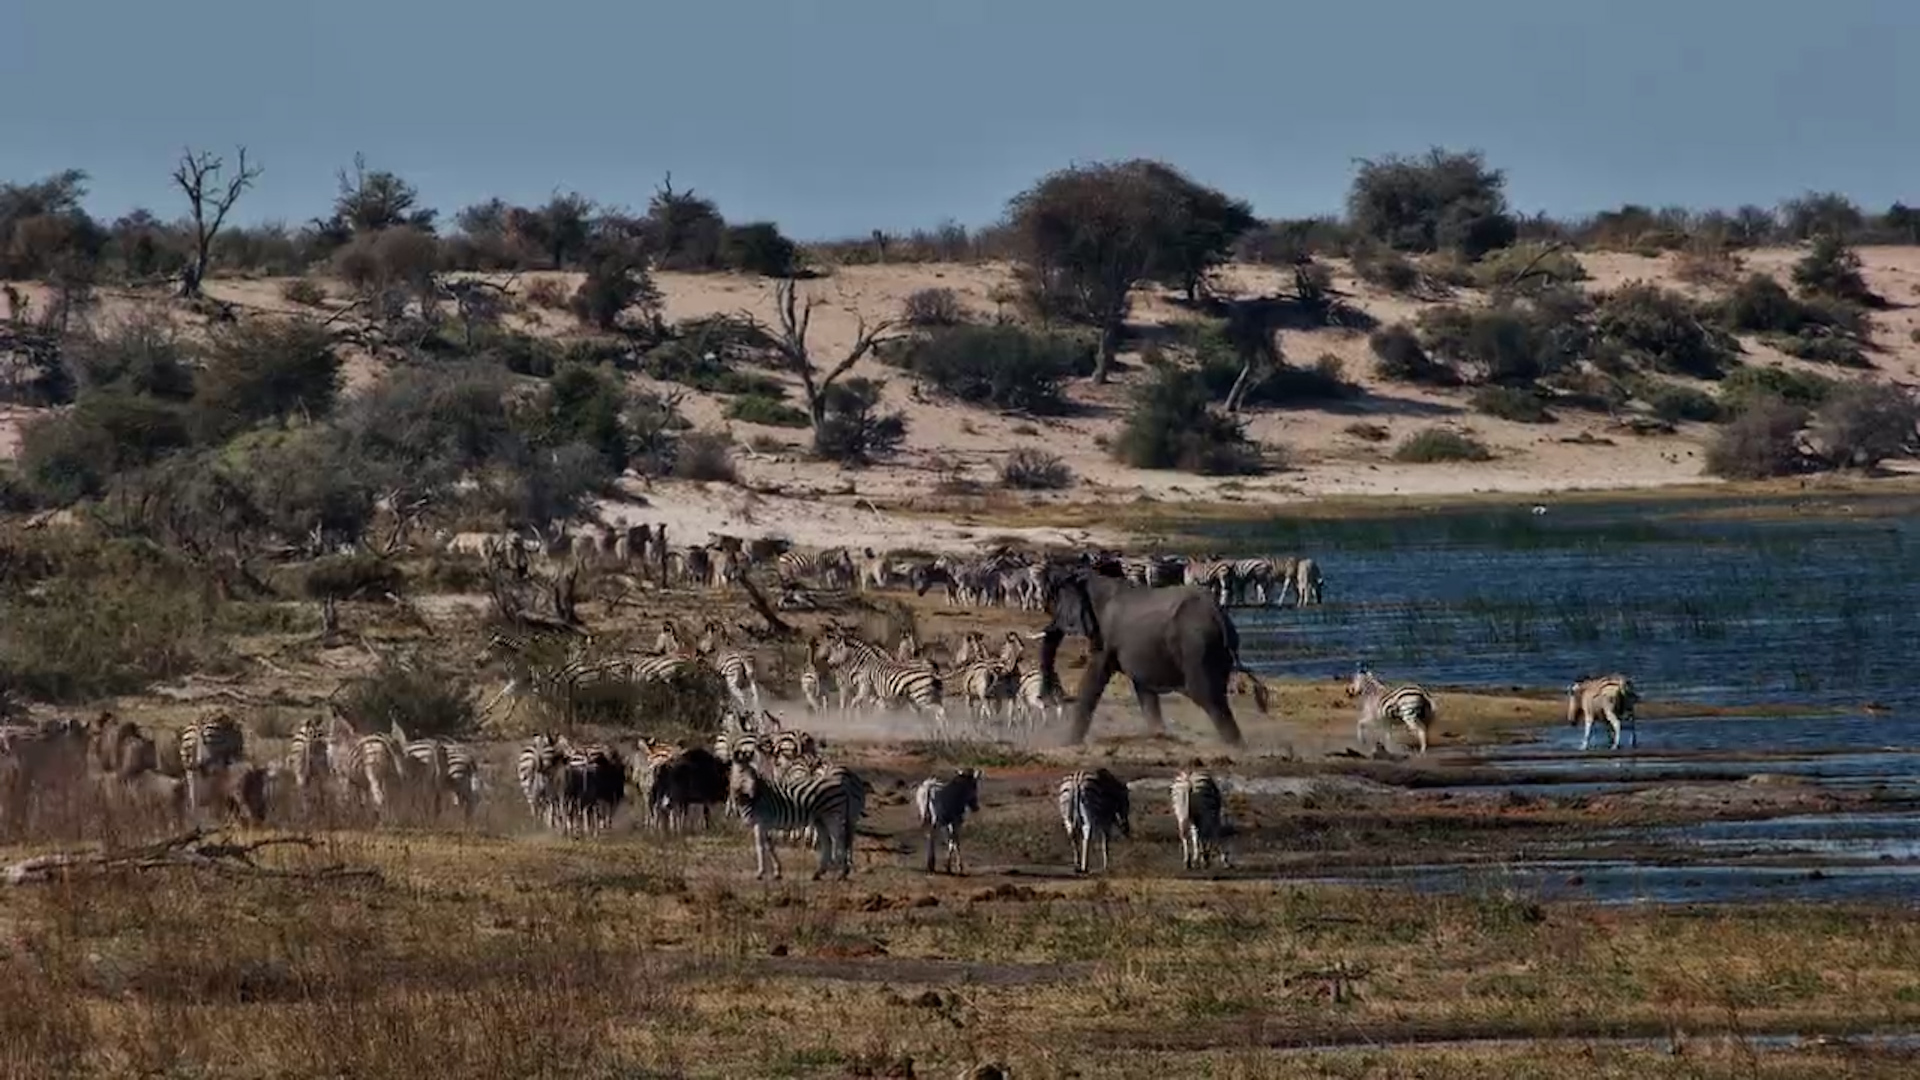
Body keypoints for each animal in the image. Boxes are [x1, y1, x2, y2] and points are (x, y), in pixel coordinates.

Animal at [727, 761, 859, 880]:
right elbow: (769, 845)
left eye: (753, 774)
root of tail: (841, 785)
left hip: (832, 816)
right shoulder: (762, 825)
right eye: (740, 773)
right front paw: (777, 871)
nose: (754, 794)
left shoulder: (760, 823)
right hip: (821, 819)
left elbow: (760, 847)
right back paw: (819, 873)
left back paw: (842, 873)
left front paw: (760, 873)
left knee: (839, 840)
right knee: (829, 841)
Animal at [1035, 567, 1272, 746]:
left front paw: (1066, 744)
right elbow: (1144, 689)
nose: (1047, 699)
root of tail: (1219, 616)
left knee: (1209, 698)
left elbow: (1095, 677)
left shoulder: (1105, 638)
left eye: (1057, 606)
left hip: (1198, 646)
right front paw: (1159, 734)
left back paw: (1237, 747)